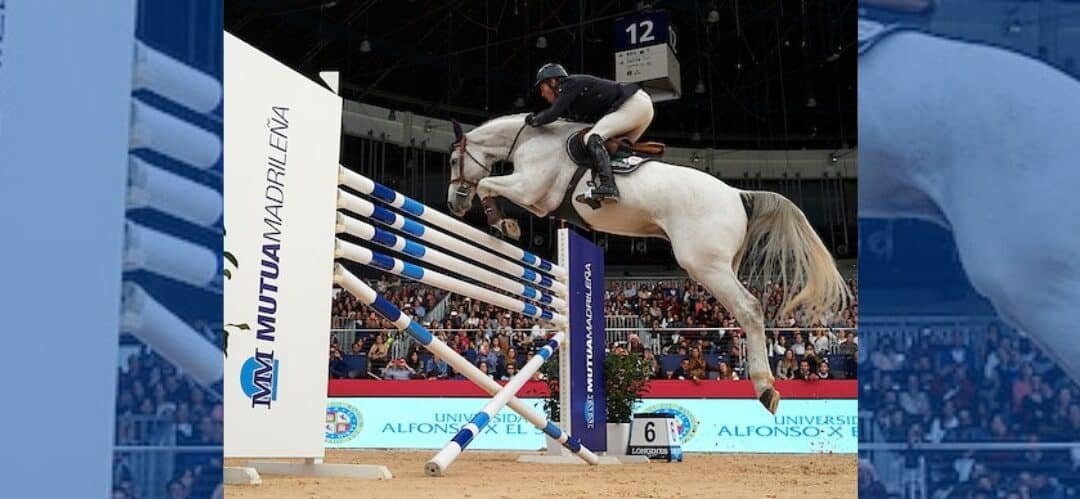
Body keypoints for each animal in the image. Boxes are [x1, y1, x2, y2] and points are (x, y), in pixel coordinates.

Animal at [445, 113, 850, 413]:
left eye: (451, 160)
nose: (453, 204)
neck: (530, 139)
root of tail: (738, 194)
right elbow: (492, 188)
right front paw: (504, 222)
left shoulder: (530, 188)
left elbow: (488, 186)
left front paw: (502, 223)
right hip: (722, 263)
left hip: (704, 264)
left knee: (749, 308)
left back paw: (765, 388)